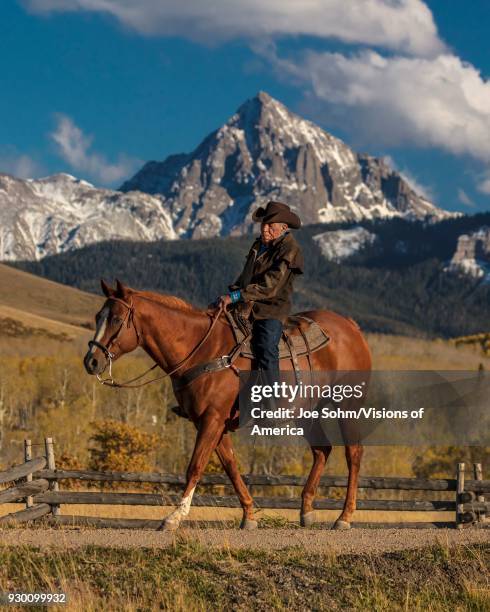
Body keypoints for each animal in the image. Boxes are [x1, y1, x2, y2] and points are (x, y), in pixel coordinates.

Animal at [83, 280, 372, 528]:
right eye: (98, 316)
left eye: (117, 319)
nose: (91, 361)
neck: (202, 349)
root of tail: (352, 327)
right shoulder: (213, 423)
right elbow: (231, 467)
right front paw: (249, 515)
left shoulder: (212, 419)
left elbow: (195, 466)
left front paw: (174, 517)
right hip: (307, 412)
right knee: (322, 450)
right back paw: (307, 511)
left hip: (347, 406)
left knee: (353, 455)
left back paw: (344, 517)